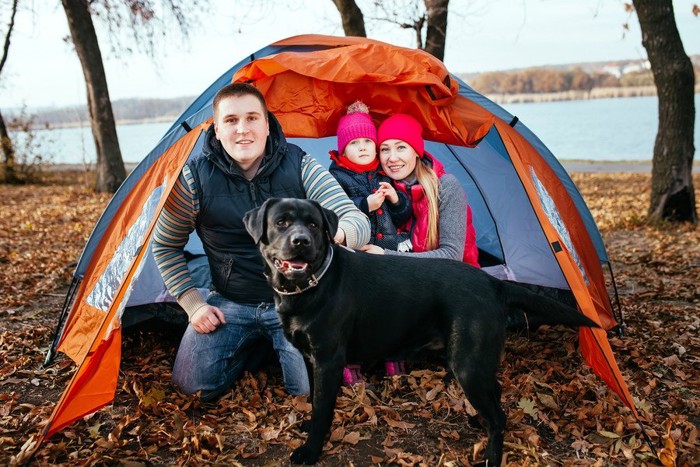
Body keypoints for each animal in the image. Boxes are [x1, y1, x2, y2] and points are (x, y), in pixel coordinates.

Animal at [243, 198, 600, 467]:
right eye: (281, 222)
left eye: (314, 225)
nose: (301, 241)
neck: (311, 286)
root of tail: (492, 283)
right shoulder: (311, 358)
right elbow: (316, 400)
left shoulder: (328, 360)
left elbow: (322, 410)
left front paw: (310, 449)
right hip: (477, 361)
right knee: (495, 393)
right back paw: (478, 422)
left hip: (467, 363)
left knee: (499, 417)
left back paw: (491, 456)